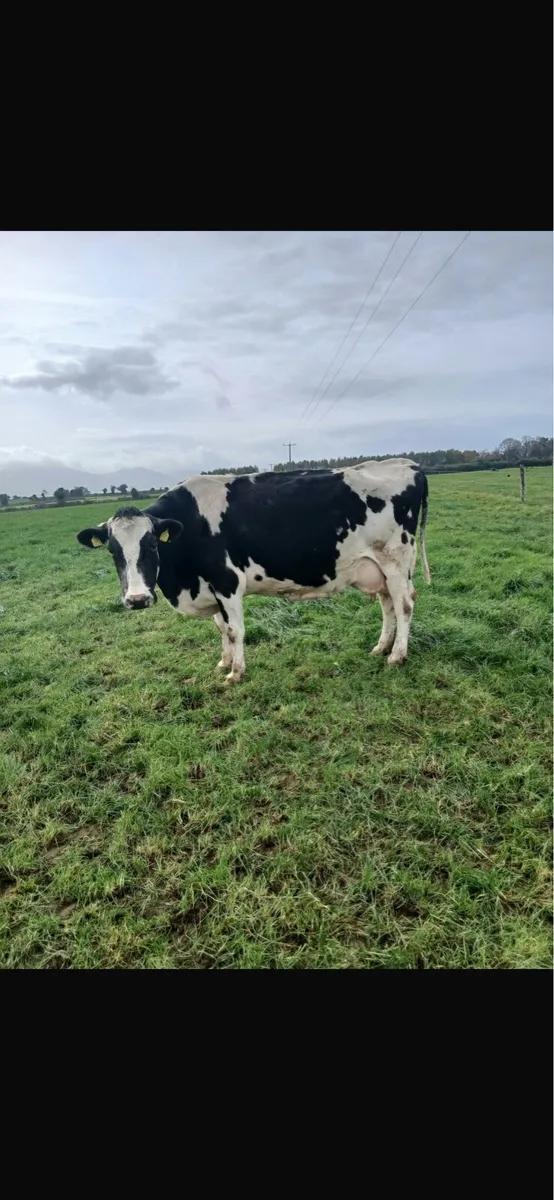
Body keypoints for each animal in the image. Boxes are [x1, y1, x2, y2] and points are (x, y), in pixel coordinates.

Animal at [76, 459, 431, 683]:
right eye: (113, 550)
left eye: (152, 545)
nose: (136, 599)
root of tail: (408, 464)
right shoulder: (212, 588)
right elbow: (220, 627)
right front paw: (224, 662)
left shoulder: (227, 581)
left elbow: (234, 629)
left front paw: (236, 673)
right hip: (377, 567)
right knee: (387, 605)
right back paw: (381, 647)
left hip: (396, 560)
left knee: (404, 604)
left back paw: (397, 656)